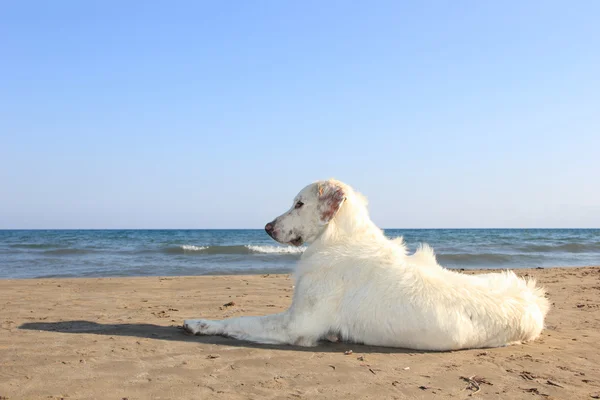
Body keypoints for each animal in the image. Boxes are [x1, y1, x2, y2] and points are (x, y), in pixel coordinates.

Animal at [183, 179, 548, 350]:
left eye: (299, 204)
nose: (267, 227)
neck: (338, 238)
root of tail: (534, 298)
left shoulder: (296, 325)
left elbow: (240, 320)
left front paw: (200, 323)